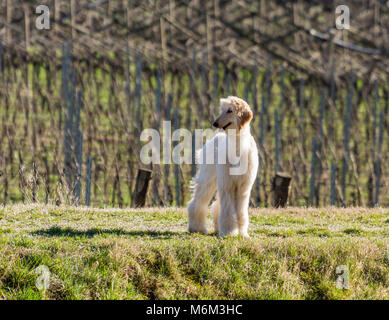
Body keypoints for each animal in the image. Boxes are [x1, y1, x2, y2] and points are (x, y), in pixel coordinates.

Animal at [187, 96, 258, 236]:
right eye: (222, 110)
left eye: (230, 110)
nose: (215, 123)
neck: (238, 148)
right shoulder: (228, 183)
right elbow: (228, 211)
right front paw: (228, 232)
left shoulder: (243, 186)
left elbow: (241, 212)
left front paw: (243, 233)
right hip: (209, 177)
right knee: (197, 202)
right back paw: (197, 228)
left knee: (217, 205)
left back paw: (217, 227)